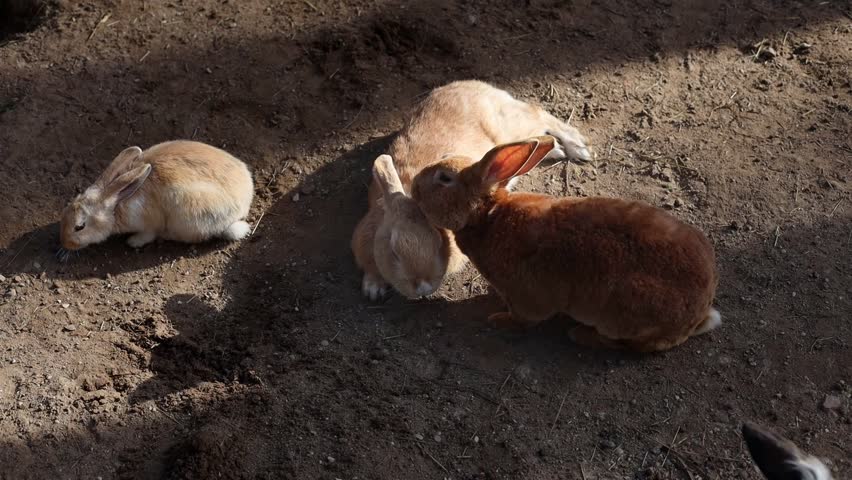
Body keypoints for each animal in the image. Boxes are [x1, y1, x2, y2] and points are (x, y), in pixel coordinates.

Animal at [59, 140, 254, 254]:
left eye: (79, 227)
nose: (65, 243)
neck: (116, 203)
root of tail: (244, 203)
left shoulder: (148, 224)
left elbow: (147, 234)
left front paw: (133, 242)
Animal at [351, 80, 592, 300]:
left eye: (438, 240)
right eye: (393, 251)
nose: (422, 287)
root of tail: (480, 87)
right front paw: (373, 288)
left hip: (516, 126)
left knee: (539, 114)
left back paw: (578, 147)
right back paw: (557, 150)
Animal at [410, 135, 719, 352]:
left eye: (445, 178)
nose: (413, 186)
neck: (488, 216)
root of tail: (699, 314)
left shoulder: (528, 298)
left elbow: (525, 319)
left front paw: (498, 320)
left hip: (625, 311)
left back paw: (579, 335)